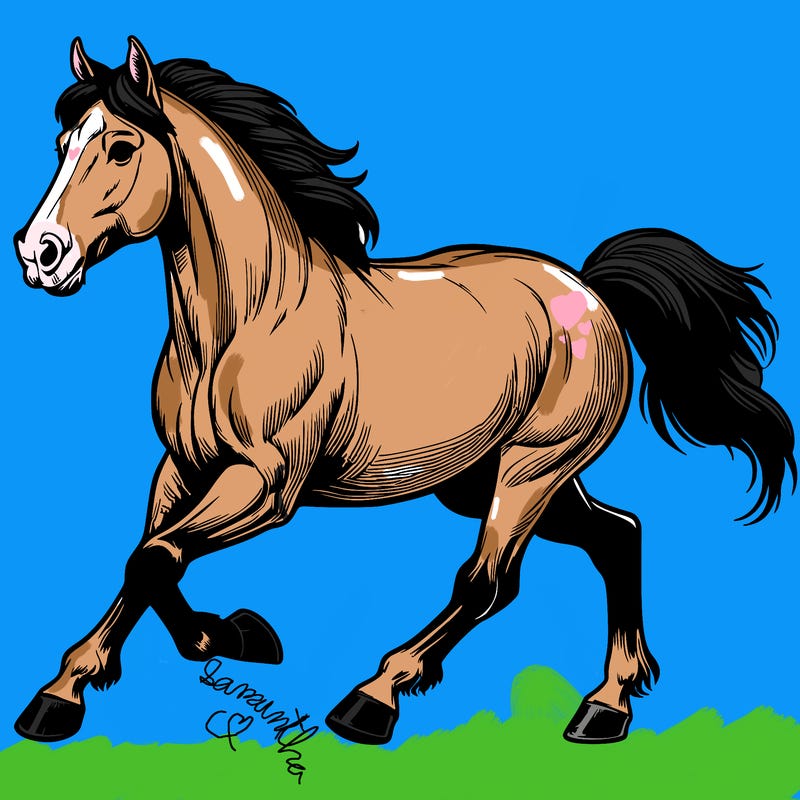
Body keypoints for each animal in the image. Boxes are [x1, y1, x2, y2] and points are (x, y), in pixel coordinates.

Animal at [13, 36, 795, 747]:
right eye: (61, 142)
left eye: (120, 147)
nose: (39, 253)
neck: (248, 320)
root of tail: (588, 288)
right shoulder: (182, 467)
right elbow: (145, 556)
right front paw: (99, 679)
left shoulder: (268, 484)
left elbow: (155, 557)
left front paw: (203, 645)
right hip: (485, 478)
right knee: (617, 534)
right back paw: (606, 706)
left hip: (533, 467)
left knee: (489, 580)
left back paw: (375, 697)